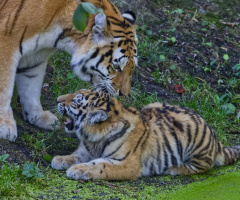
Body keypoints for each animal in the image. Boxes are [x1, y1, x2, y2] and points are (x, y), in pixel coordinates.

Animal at [0, 0, 137, 141]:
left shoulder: (36, 57)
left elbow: (31, 87)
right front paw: (5, 125)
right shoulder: (7, 43)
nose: (123, 93)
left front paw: (38, 116)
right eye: (116, 66)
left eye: (132, 67)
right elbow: (4, 87)